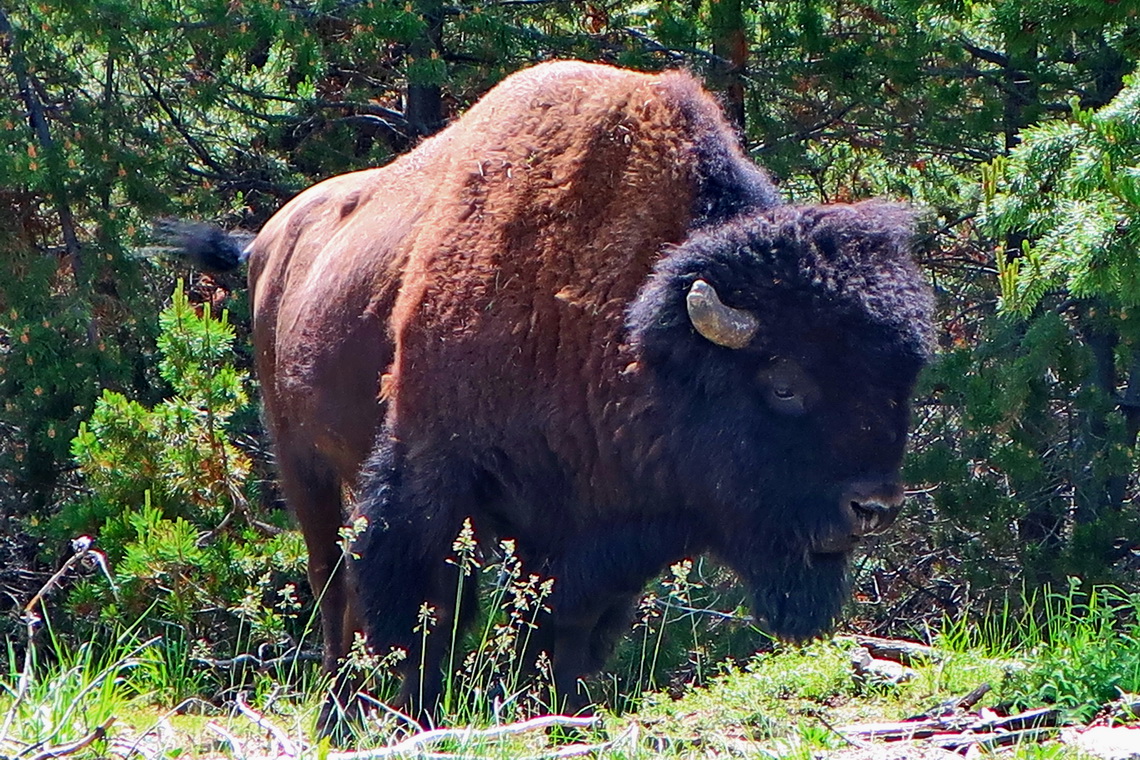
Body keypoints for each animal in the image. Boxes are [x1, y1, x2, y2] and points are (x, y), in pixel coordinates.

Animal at [175, 60, 925, 738]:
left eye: (902, 380)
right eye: (783, 382)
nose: (876, 506)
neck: (629, 327)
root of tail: (268, 240)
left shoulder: (591, 535)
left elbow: (561, 627)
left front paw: (555, 711)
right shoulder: (431, 476)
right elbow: (418, 607)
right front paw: (411, 713)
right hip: (306, 467)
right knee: (334, 585)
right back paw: (339, 708)